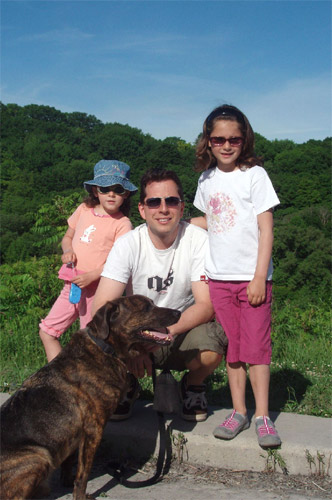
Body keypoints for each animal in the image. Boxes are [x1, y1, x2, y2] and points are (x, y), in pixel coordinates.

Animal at [0, 294, 182, 498]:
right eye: (146, 308)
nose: (178, 313)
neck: (106, 348)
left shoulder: (76, 435)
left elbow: (69, 465)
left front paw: (67, 483)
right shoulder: (93, 429)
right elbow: (83, 474)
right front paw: (79, 496)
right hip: (39, 456)